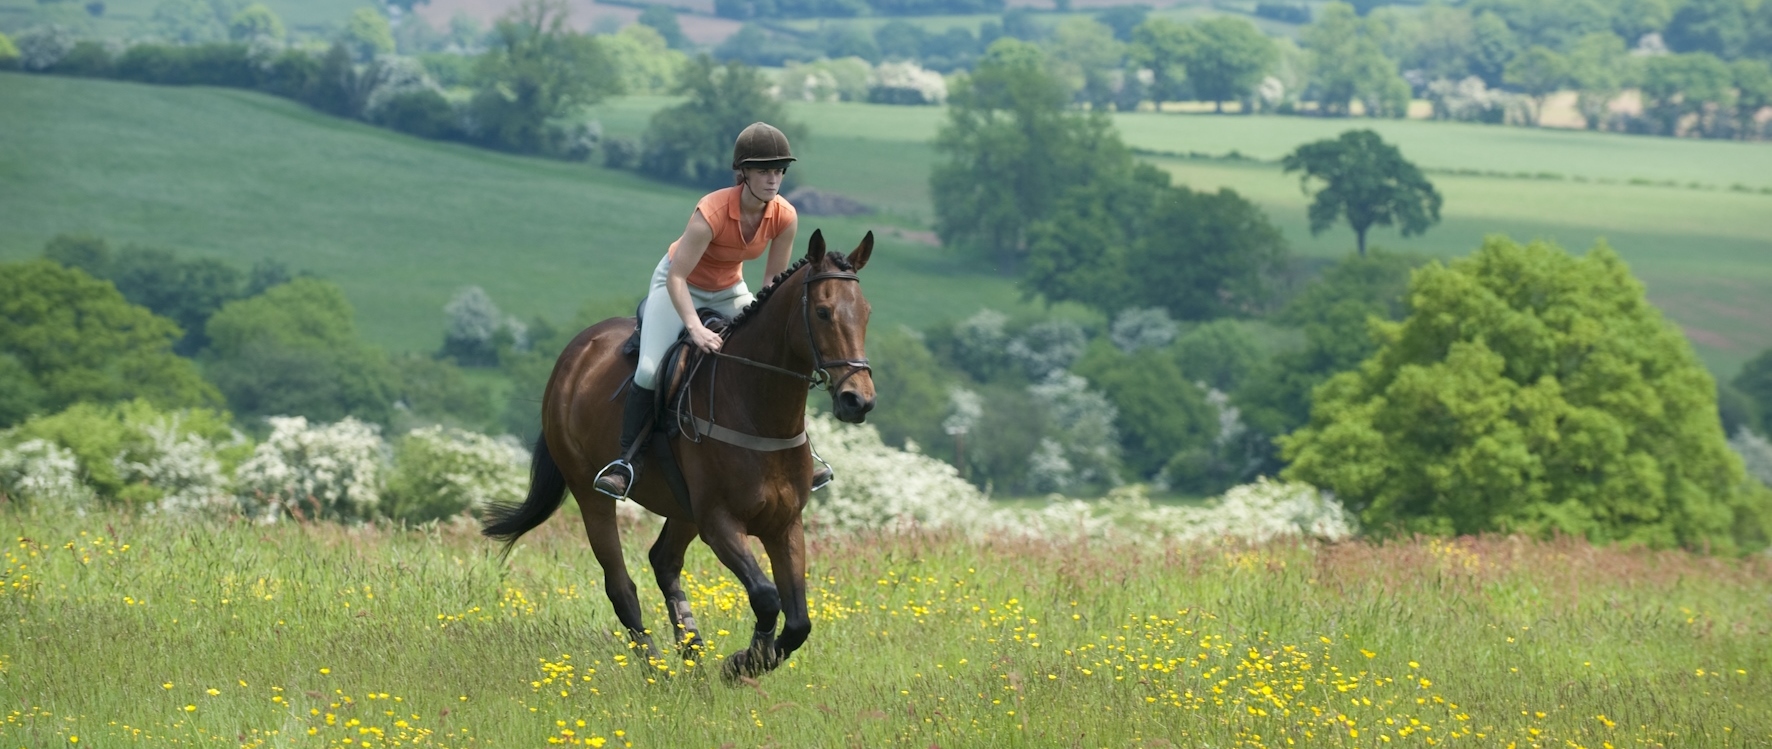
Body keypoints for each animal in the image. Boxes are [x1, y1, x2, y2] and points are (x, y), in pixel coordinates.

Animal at [481, 229, 876, 681]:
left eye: (866, 312)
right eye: (824, 312)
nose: (858, 400)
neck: (756, 407)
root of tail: (574, 353)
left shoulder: (784, 523)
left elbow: (798, 622)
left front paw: (750, 660)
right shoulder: (719, 522)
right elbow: (765, 596)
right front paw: (741, 662)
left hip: (683, 508)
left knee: (664, 562)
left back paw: (692, 648)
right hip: (592, 494)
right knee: (621, 585)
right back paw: (658, 669)